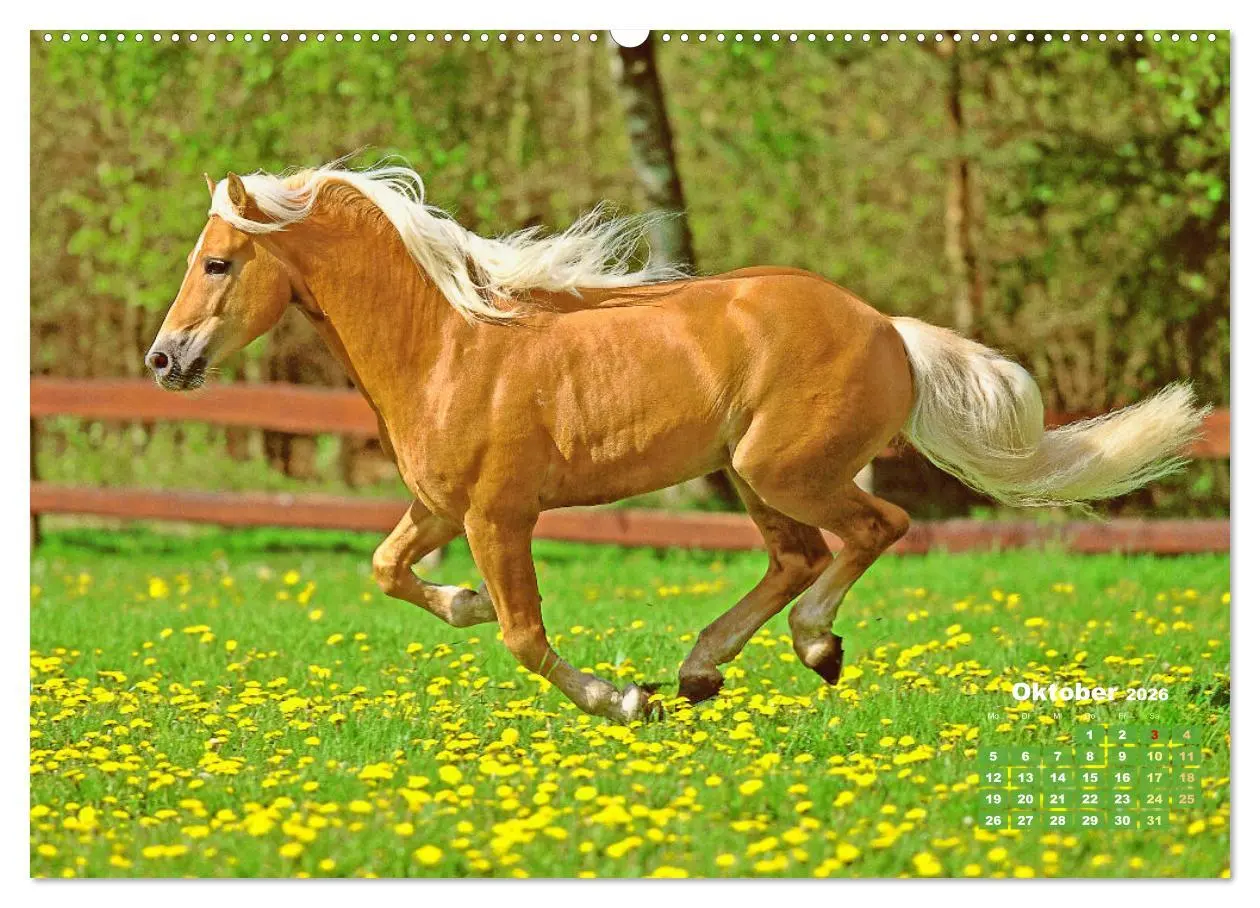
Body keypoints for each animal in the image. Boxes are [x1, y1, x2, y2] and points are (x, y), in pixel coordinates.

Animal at [146, 162, 1206, 722]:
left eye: (218, 262)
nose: (163, 359)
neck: (450, 341)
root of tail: (886, 328)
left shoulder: (497, 515)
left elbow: (526, 636)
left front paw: (625, 699)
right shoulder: (438, 509)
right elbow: (387, 570)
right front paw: (466, 606)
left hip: (787, 467)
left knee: (876, 528)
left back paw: (811, 649)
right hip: (749, 476)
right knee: (798, 556)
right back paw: (706, 669)